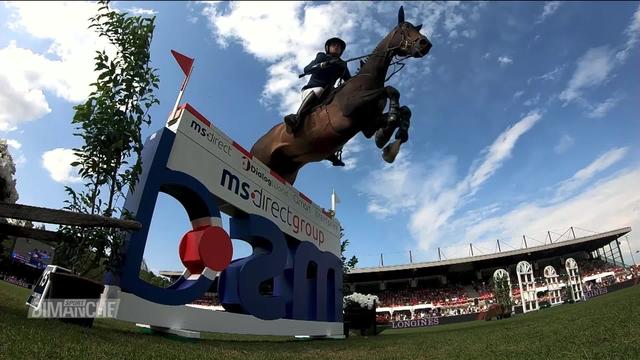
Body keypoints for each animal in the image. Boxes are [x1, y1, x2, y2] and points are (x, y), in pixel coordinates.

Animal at [250, 5, 430, 184]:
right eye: (405, 27)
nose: (425, 44)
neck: (370, 78)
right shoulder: (350, 108)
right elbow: (391, 90)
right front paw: (389, 127)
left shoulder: (367, 124)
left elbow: (405, 110)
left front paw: (393, 136)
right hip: (263, 158)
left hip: (286, 171)